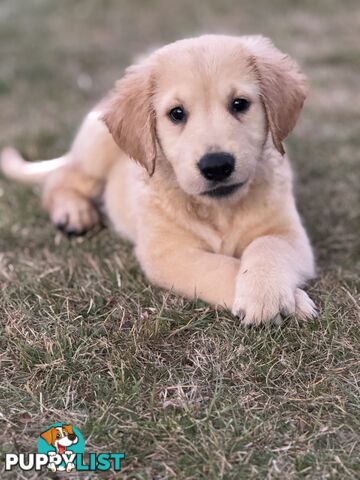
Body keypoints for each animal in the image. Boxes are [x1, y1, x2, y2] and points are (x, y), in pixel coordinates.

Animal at [0, 35, 316, 324]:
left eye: (240, 104)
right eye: (176, 113)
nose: (216, 166)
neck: (219, 210)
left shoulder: (288, 232)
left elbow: (266, 246)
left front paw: (266, 293)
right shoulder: (168, 253)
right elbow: (221, 267)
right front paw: (282, 300)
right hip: (95, 152)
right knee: (61, 178)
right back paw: (73, 212)